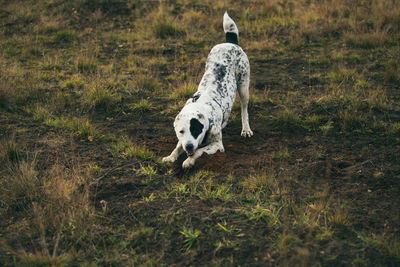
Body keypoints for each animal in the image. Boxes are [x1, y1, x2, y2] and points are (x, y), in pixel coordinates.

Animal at [162, 12, 253, 170]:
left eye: (195, 130)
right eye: (181, 131)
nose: (189, 146)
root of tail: (230, 43)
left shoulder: (217, 145)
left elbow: (200, 151)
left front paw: (189, 161)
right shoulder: (183, 141)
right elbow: (177, 147)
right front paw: (170, 157)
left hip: (243, 86)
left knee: (244, 109)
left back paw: (246, 129)